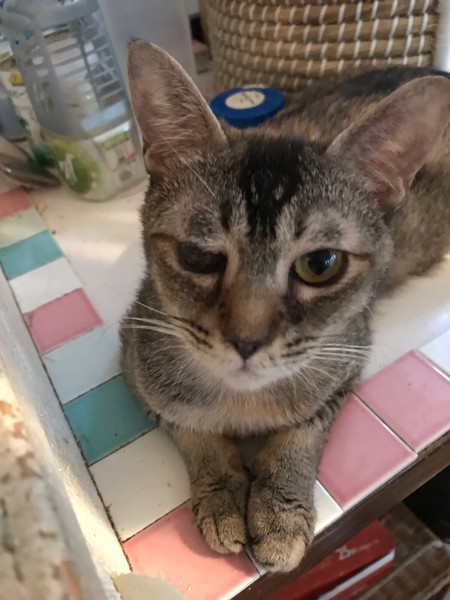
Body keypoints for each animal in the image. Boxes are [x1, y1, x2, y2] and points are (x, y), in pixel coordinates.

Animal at [120, 41, 450, 573]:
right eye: (198, 256)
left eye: (321, 264)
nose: (246, 340)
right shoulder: (136, 362)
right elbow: (191, 427)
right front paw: (220, 494)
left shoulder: (347, 357)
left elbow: (301, 434)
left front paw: (279, 510)